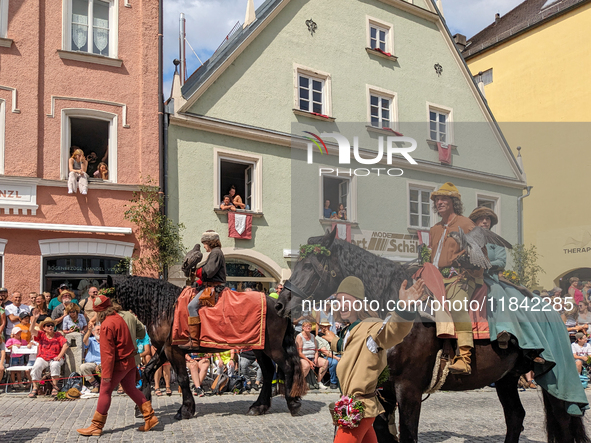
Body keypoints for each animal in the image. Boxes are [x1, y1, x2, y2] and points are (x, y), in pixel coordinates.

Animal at [106, 276, 308, 422]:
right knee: (267, 372)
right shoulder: (165, 351)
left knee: (287, 367)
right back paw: (259, 406)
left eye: (102, 294)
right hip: (260, 348)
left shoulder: (174, 351)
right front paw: (143, 405)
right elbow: (147, 371)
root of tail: (280, 306)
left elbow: (182, 379)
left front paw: (185, 410)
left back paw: (293, 403)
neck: (165, 308)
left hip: (273, 348)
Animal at [278, 229, 591, 443]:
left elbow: (408, 435)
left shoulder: (409, 388)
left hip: (553, 377)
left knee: (563, 420)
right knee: (516, 418)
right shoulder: (384, 390)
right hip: (506, 378)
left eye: (309, 266)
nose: (281, 303)